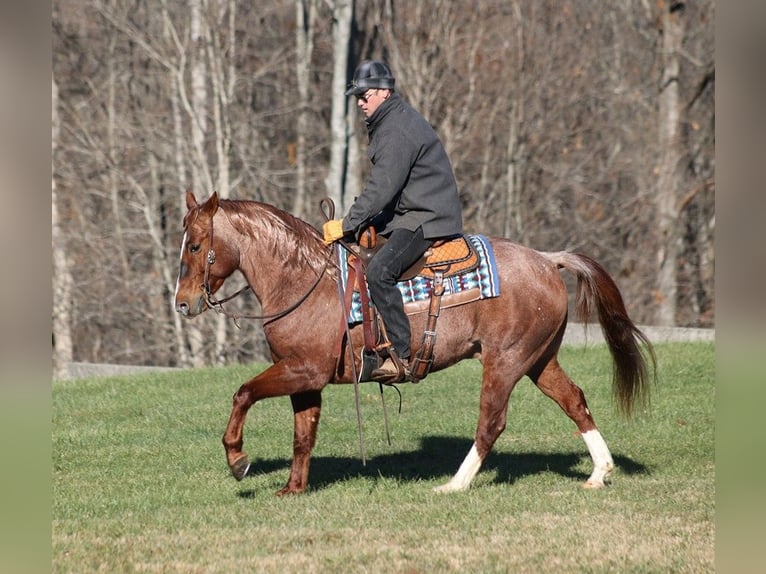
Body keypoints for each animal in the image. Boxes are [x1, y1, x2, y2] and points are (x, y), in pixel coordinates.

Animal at [176, 191, 660, 498]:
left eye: (196, 245)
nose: (182, 303)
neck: (303, 280)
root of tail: (546, 259)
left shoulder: (302, 370)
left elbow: (243, 393)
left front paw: (238, 459)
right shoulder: (305, 379)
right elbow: (303, 434)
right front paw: (292, 488)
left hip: (504, 361)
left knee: (491, 423)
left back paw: (454, 485)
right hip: (539, 360)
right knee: (574, 400)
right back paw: (599, 473)